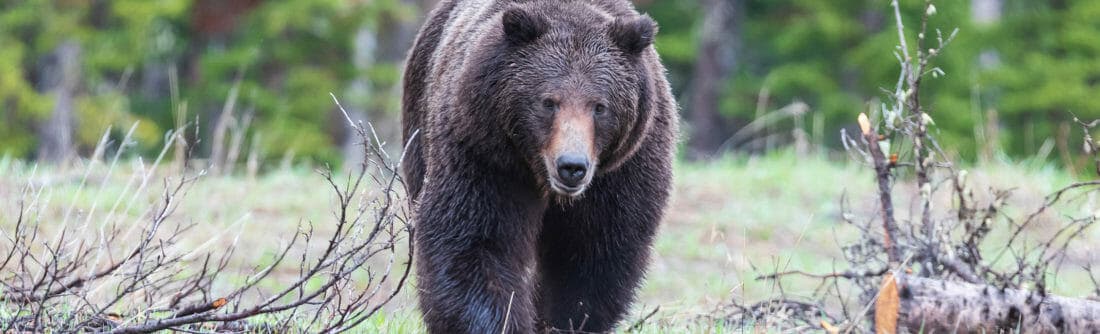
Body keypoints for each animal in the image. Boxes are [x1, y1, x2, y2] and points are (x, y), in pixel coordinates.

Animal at [404, 1, 677, 331]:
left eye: (600, 106)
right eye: (549, 102)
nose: (572, 166)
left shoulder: (621, 172)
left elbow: (593, 256)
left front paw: (563, 320)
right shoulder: (485, 155)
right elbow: (475, 242)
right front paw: (500, 321)